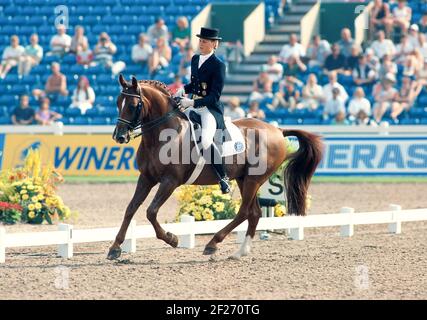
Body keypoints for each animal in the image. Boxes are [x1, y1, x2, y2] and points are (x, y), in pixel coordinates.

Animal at [108, 74, 324, 260]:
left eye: (133, 105)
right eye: (118, 103)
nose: (119, 136)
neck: (163, 135)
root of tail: (278, 130)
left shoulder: (170, 181)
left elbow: (151, 212)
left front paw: (172, 239)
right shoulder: (146, 178)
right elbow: (131, 209)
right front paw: (115, 248)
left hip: (254, 179)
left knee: (244, 212)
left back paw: (212, 243)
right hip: (244, 179)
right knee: (254, 213)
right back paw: (239, 252)